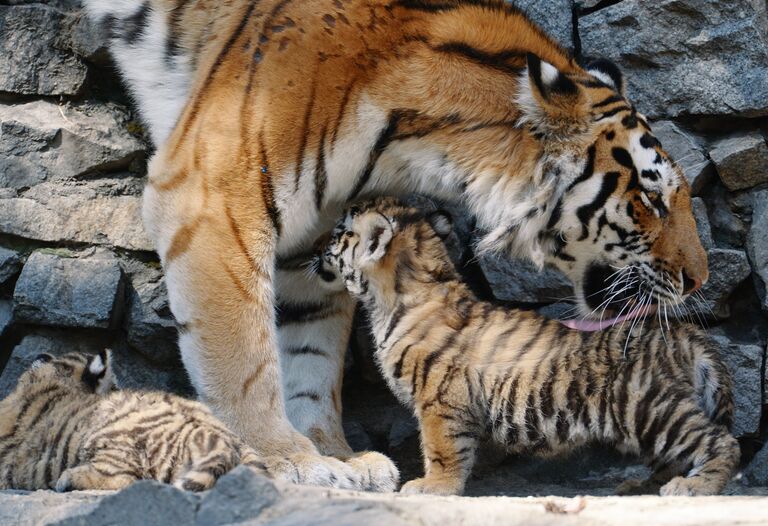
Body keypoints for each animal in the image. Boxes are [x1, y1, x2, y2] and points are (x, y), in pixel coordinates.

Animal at [82, 0, 708, 490]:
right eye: (651, 199)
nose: (698, 279)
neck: (413, 143)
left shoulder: (311, 244)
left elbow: (309, 362)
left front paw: (334, 457)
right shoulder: (212, 196)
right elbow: (244, 356)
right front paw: (282, 458)